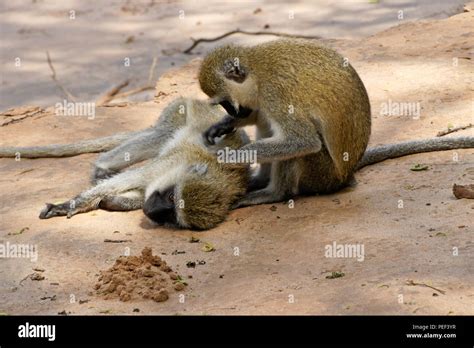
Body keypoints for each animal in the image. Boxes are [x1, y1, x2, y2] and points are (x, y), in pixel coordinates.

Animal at [0, 98, 252, 230]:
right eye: (172, 197)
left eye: (173, 216)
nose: (152, 211)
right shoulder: (170, 163)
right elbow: (130, 179)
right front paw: (70, 204)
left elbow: (139, 194)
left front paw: (115, 202)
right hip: (177, 112)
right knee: (161, 135)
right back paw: (102, 167)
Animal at [197, 38, 474, 207]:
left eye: (225, 101)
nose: (233, 111)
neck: (257, 70)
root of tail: (346, 175)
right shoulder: (261, 98)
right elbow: (258, 114)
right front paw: (225, 125)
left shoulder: (276, 93)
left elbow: (303, 141)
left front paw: (226, 157)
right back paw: (261, 181)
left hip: (322, 176)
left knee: (299, 149)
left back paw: (273, 193)